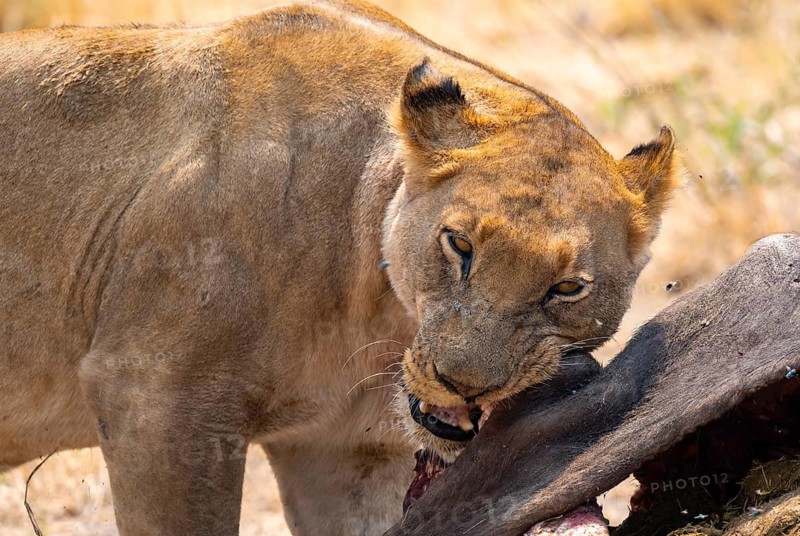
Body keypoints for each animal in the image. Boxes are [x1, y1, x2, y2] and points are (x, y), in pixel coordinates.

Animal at [0, 0, 680, 534]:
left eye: (567, 288)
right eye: (459, 245)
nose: (464, 385)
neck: (374, 313)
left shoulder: (345, 451)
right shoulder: (153, 397)